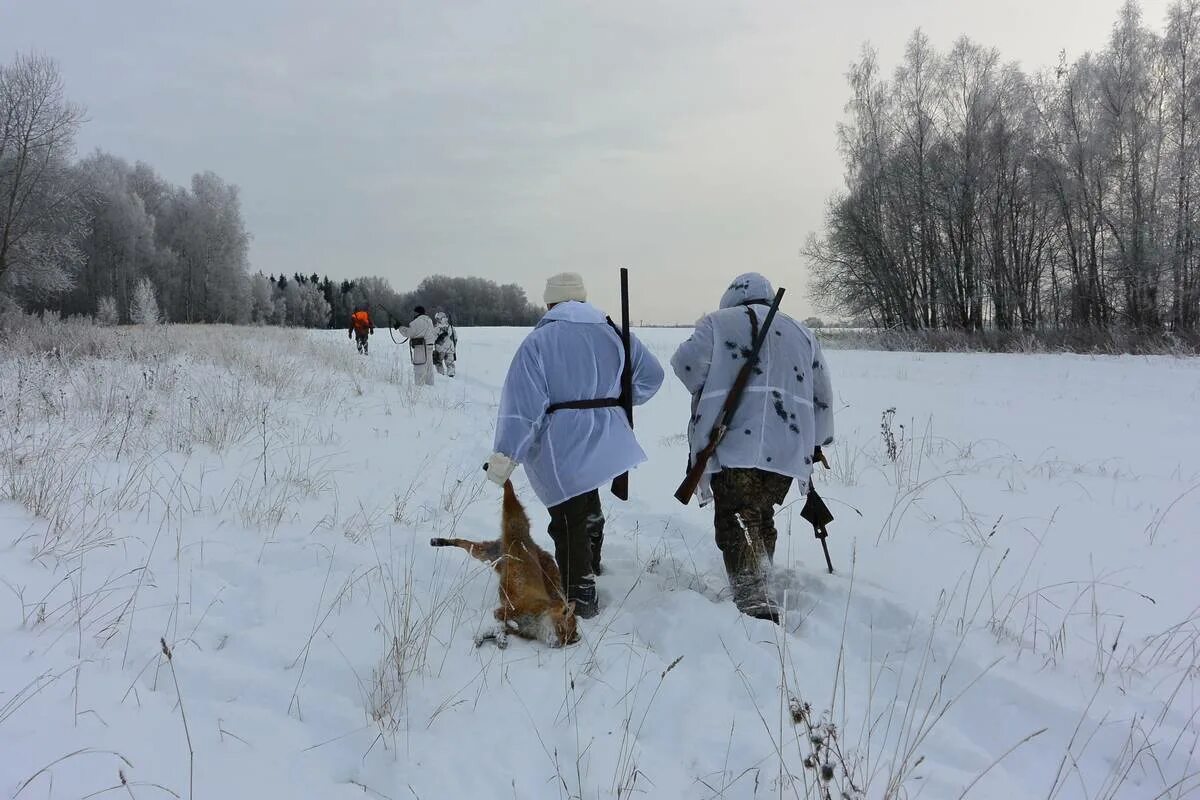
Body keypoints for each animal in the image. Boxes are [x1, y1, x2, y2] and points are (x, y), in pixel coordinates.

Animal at [432, 479, 580, 647]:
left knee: (463, 542)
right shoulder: (507, 610)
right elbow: (503, 618)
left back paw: (439, 541)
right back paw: (504, 479)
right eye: (560, 630)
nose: (556, 644)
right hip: (511, 519)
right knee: (509, 494)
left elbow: (500, 630)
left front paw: (496, 638)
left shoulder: (518, 629)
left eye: (566, 640)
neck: (535, 624)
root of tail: (532, 543)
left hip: (485, 554)